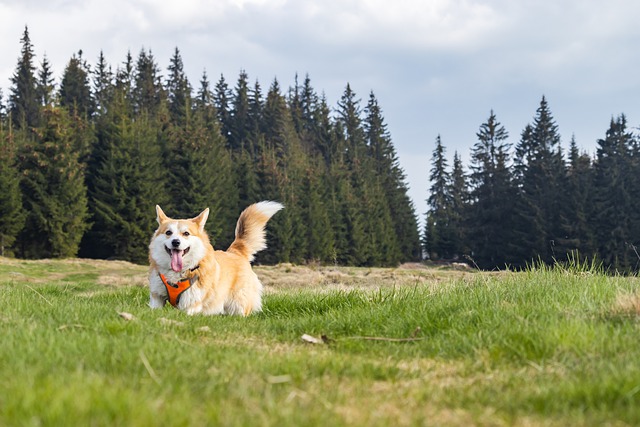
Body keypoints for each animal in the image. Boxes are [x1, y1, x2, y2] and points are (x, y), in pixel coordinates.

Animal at [149, 201, 284, 314]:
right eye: (168, 233)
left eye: (186, 233)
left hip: (239, 304)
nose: (175, 242)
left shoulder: (191, 303)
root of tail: (236, 252)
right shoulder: (156, 298)